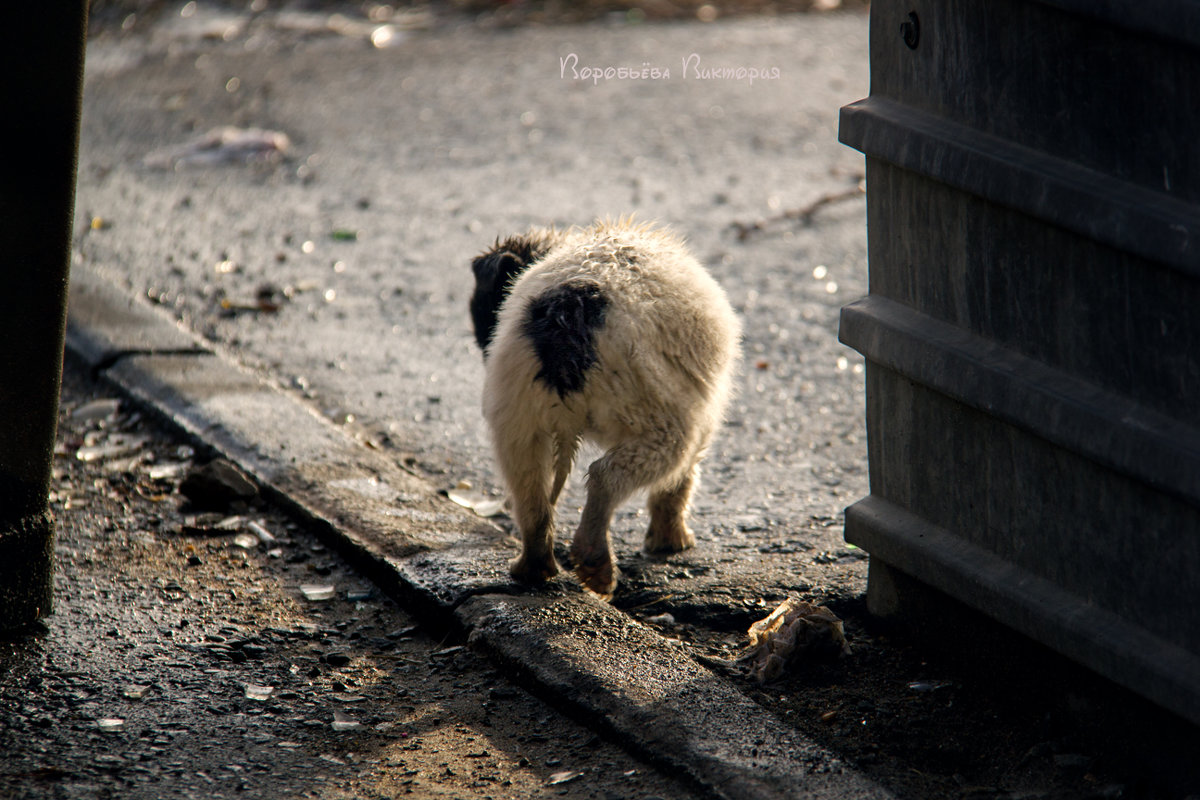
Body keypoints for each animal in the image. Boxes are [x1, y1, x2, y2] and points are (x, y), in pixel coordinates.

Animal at [470, 221, 739, 597]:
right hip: (666, 426)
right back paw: (595, 560)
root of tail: (568, 313)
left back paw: (534, 568)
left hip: (517, 423)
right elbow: (680, 484)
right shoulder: (704, 414)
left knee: (530, 496)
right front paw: (670, 542)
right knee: (605, 476)